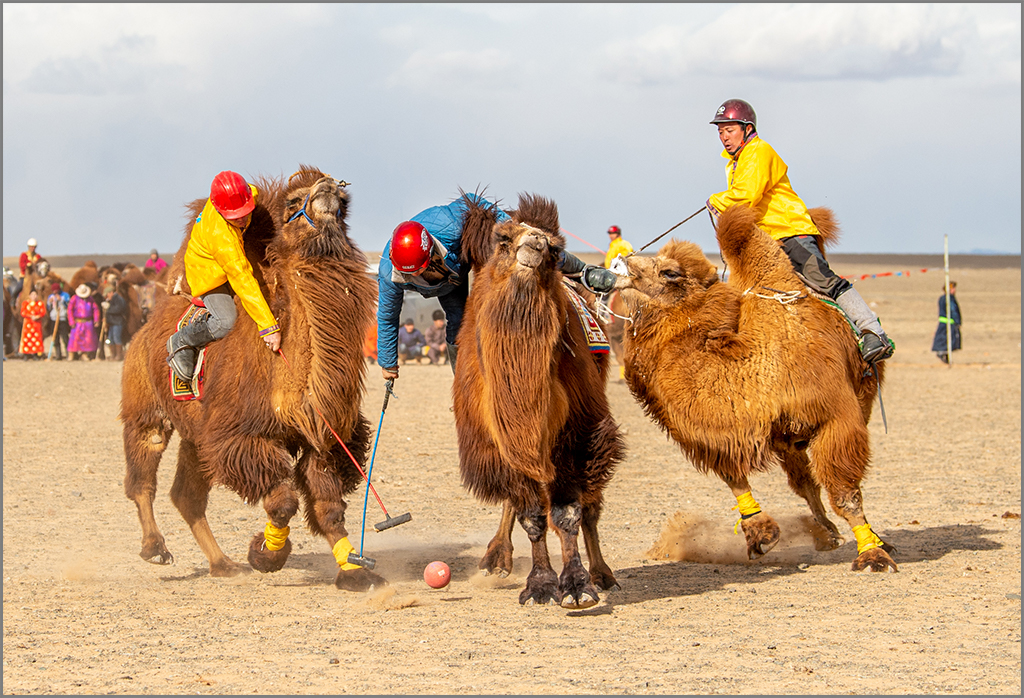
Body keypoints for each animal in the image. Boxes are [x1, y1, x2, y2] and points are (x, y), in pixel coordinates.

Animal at [119, 165, 385, 589]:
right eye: (294, 201)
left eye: (344, 203)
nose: (329, 187)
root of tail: (144, 330)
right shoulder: (241, 436)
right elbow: (283, 501)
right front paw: (267, 554)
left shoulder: (324, 439)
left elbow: (328, 507)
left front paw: (353, 571)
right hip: (146, 408)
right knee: (144, 472)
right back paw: (156, 549)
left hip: (196, 434)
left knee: (186, 495)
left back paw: (223, 564)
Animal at [454, 193, 622, 605]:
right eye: (502, 238)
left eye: (556, 249)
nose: (536, 243)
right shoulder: (499, 439)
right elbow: (531, 514)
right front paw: (541, 584)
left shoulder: (578, 432)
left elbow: (567, 512)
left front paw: (577, 585)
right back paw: (495, 558)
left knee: (591, 504)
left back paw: (603, 573)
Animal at [614, 202, 897, 569]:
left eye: (670, 273)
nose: (620, 264)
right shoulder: (735, 432)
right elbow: (734, 475)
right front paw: (761, 533)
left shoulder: (836, 417)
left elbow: (845, 492)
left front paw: (873, 554)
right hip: (790, 439)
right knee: (804, 482)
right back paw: (825, 533)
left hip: (858, 402)